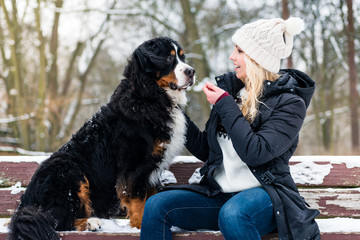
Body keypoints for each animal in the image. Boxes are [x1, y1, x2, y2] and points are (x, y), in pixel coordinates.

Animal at [8, 36, 194, 240]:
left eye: (182, 57)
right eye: (169, 58)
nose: (191, 71)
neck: (149, 97)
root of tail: (24, 204)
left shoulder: (150, 167)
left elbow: (150, 197)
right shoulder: (135, 166)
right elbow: (138, 199)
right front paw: (141, 224)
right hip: (69, 171)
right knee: (57, 221)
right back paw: (91, 223)